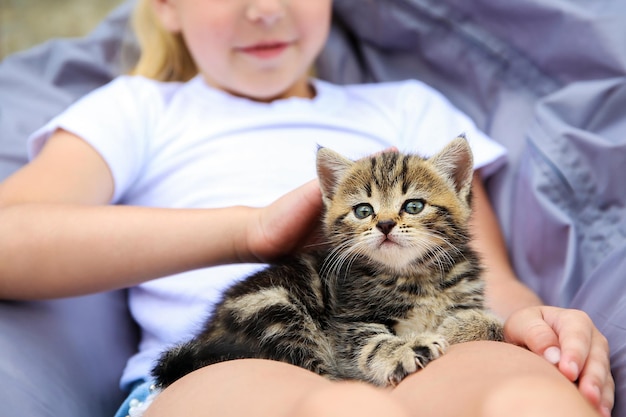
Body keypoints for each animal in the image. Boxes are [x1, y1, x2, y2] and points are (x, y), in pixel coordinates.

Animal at [151, 136, 502, 386]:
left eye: (413, 206)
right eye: (363, 210)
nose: (386, 224)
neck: (413, 276)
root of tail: (209, 333)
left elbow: (495, 324)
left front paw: (461, 325)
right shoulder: (347, 322)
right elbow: (367, 343)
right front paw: (406, 348)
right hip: (273, 307)